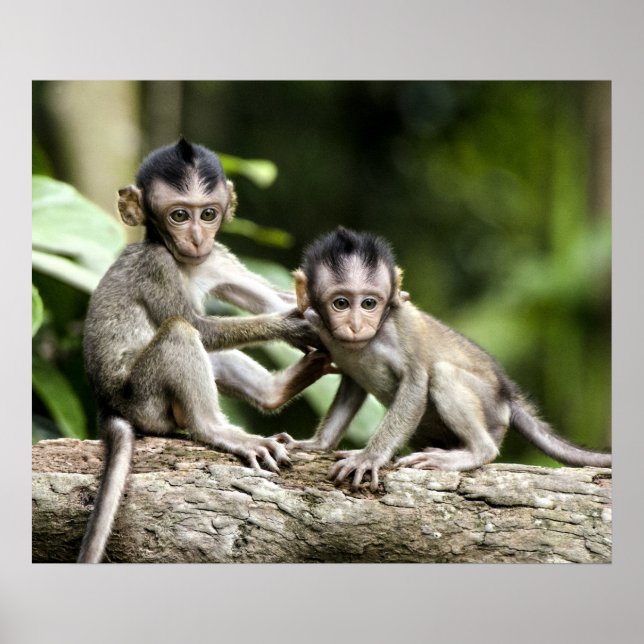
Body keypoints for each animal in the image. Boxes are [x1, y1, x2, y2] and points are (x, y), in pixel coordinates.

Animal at [78, 139, 325, 563]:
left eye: (208, 214)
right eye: (179, 215)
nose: (196, 238)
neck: (183, 262)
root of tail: (108, 405)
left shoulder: (216, 257)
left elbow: (267, 298)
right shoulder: (157, 266)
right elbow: (199, 325)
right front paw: (294, 325)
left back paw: (279, 389)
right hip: (145, 400)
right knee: (181, 332)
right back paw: (217, 429)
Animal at [275, 227, 612, 491]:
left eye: (369, 303)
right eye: (341, 303)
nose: (357, 325)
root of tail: (507, 395)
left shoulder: (403, 327)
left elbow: (416, 383)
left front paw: (369, 457)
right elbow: (351, 386)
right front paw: (317, 444)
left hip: (489, 409)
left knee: (443, 374)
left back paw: (475, 452)